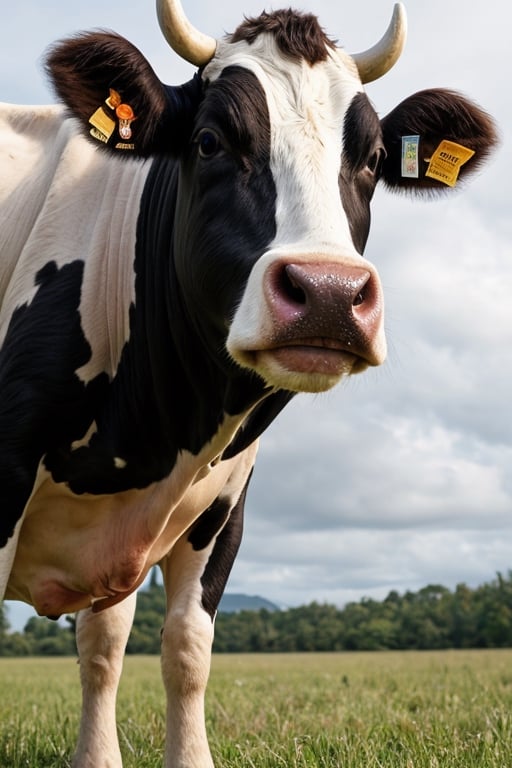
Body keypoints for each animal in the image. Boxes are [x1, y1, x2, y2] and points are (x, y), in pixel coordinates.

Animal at [0, 0, 496, 764]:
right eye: (208, 142)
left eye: (373, 159)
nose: (329, 292)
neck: (153, 430)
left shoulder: (222, 501)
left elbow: (172, 647)